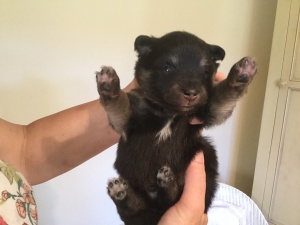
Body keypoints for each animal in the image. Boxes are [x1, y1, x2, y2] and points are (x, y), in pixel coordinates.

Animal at [95, 31, 255, 225]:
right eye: (167, 67)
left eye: (206, 71)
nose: (191, 93)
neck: (170, 112)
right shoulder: (128, 119)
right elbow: (120, 104)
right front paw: (109, 85)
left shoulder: (209, 111)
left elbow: (224, 95)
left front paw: (241, 74)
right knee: (136, 208)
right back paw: (122, 193)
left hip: (206, 154)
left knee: (173, 198)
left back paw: (167, 182)